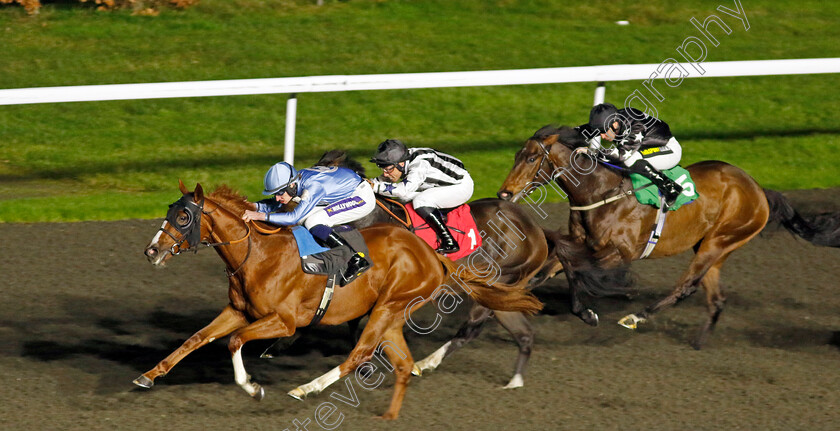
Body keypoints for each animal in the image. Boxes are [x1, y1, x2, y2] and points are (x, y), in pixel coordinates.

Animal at [135, 181, 540, 420]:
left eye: (184, 216)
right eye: (169, 211)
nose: (151, 251)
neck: (259, 255)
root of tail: (432, 255)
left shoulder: (284, 321)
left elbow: (235, 342)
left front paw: (252, 387)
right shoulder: (238, 311)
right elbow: (196, 338)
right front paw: (148, 376)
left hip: (387, 308)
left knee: (359, 354)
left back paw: (306, 388)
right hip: (390, 314)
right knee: (403, 364)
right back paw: (389, 417)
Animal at [498, 126, 840, 350]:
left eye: (531, 158)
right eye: (516, 155)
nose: (505, 194)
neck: (601, 192)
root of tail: (758, 189)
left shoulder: (618, 253)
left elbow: (573, 267)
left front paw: (587, 313)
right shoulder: (584, 242)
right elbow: (550, 268)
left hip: (719, 241)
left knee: (686, 286)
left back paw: (636, 317)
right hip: (714, 246)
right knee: (715, 298)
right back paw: (698, 344)